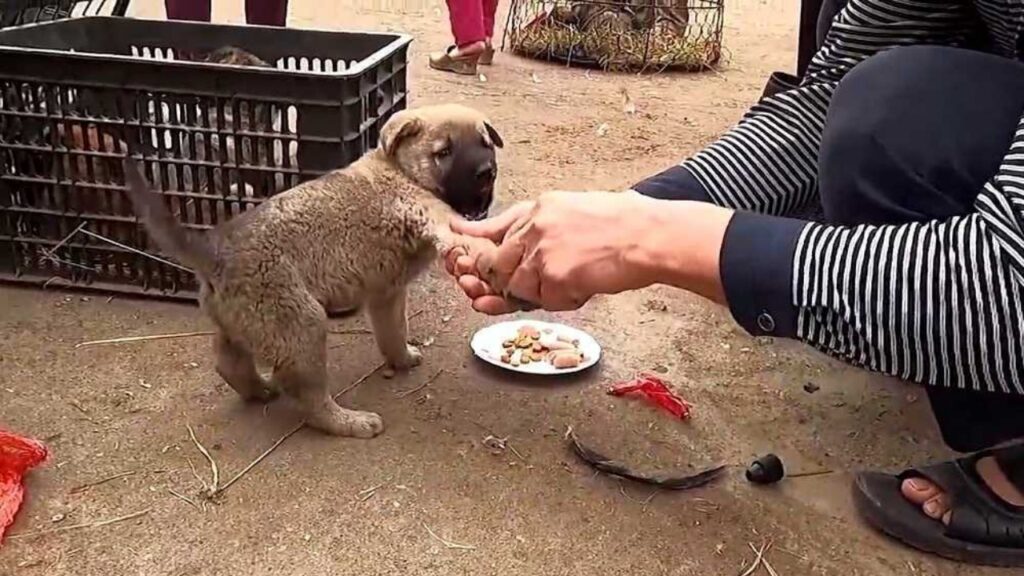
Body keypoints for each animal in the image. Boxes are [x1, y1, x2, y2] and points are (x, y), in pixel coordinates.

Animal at [123, 104, 503, 434]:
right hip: (300, 325)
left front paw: (402, 358)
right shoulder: (421, 209)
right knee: (310, 401)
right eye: (444, 152)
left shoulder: (387, 293)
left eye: (485, 144)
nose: (486, 173)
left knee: (229, 363)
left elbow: (393, 331)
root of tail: (214, 253)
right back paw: (351, 422)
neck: (400, 169)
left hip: (245, 322)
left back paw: (259, 390)